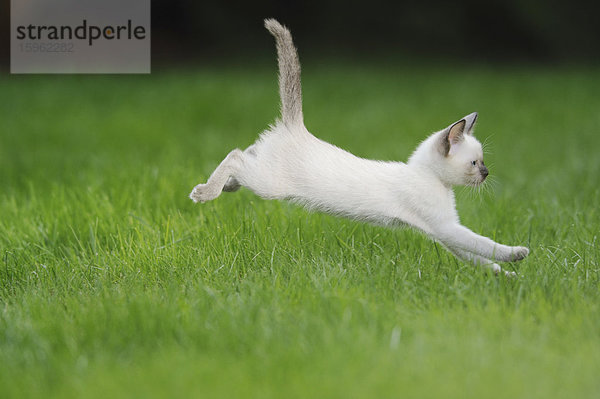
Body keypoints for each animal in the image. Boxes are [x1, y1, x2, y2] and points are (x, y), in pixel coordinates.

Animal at [189, 18, 528, 276]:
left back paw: (226, 187)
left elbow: (476, 257)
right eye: (474, 163)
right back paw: (205, 192)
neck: (430, 178)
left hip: (264, 170)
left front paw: (505, 276)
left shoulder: (442, 232)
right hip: (269, 185)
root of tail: (297, 126)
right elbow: (484, 244)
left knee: (246, 153)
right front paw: (517, 255)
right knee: (235, 156)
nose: (487, 173)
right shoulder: (445, 227)